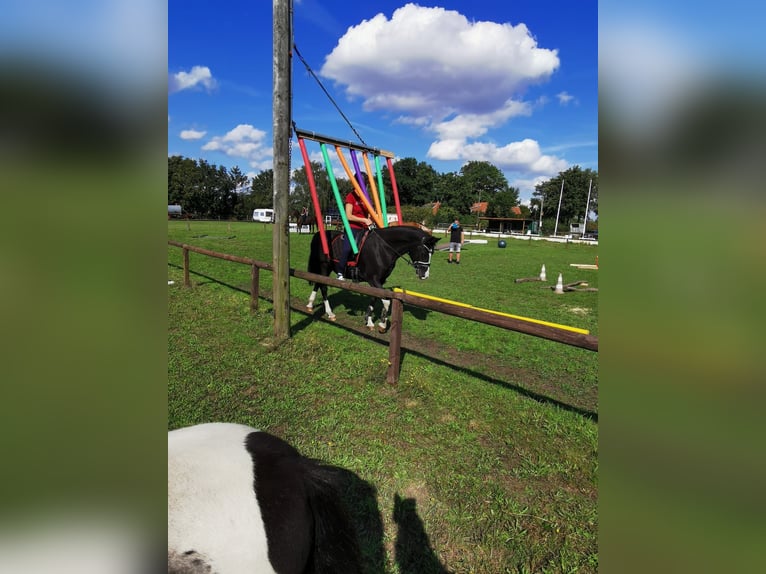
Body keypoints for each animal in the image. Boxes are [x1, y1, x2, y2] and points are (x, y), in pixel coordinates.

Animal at [306, 225, 438, 332]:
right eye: (423, 252)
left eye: (432, 253)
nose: (425, 275)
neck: (383, 248)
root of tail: (319, 234)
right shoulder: (373, 279)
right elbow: (386, 301)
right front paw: (382, 324)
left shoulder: (379, 281)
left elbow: (375, 298)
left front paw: (368, 320)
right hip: (324, 266)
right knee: (323, 287)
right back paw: (330, 313)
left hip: (326, 269)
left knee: (318, 282)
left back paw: (310, 304)